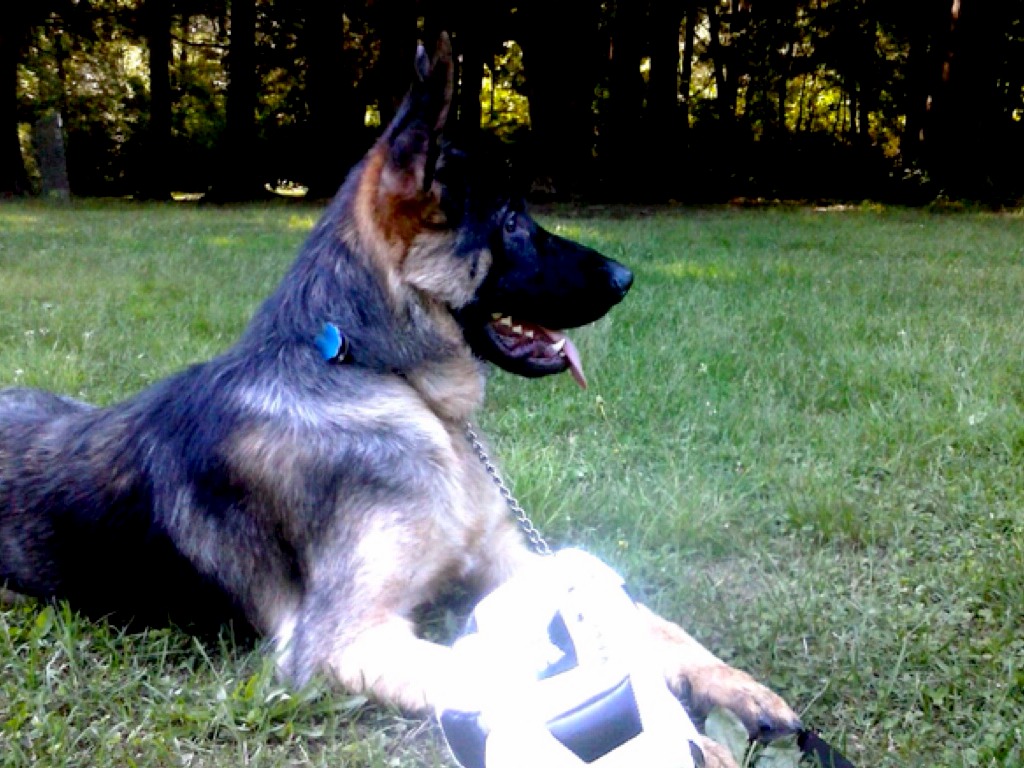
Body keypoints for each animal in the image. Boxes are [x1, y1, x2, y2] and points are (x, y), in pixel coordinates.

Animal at [0, 35, 799, 767]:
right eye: (511, 221)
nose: (626, 278)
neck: (380, 377)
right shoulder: (341, 640)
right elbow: (499, 680)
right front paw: (683, 737)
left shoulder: (511, 561)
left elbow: (649, 624)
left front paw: (735, 688)